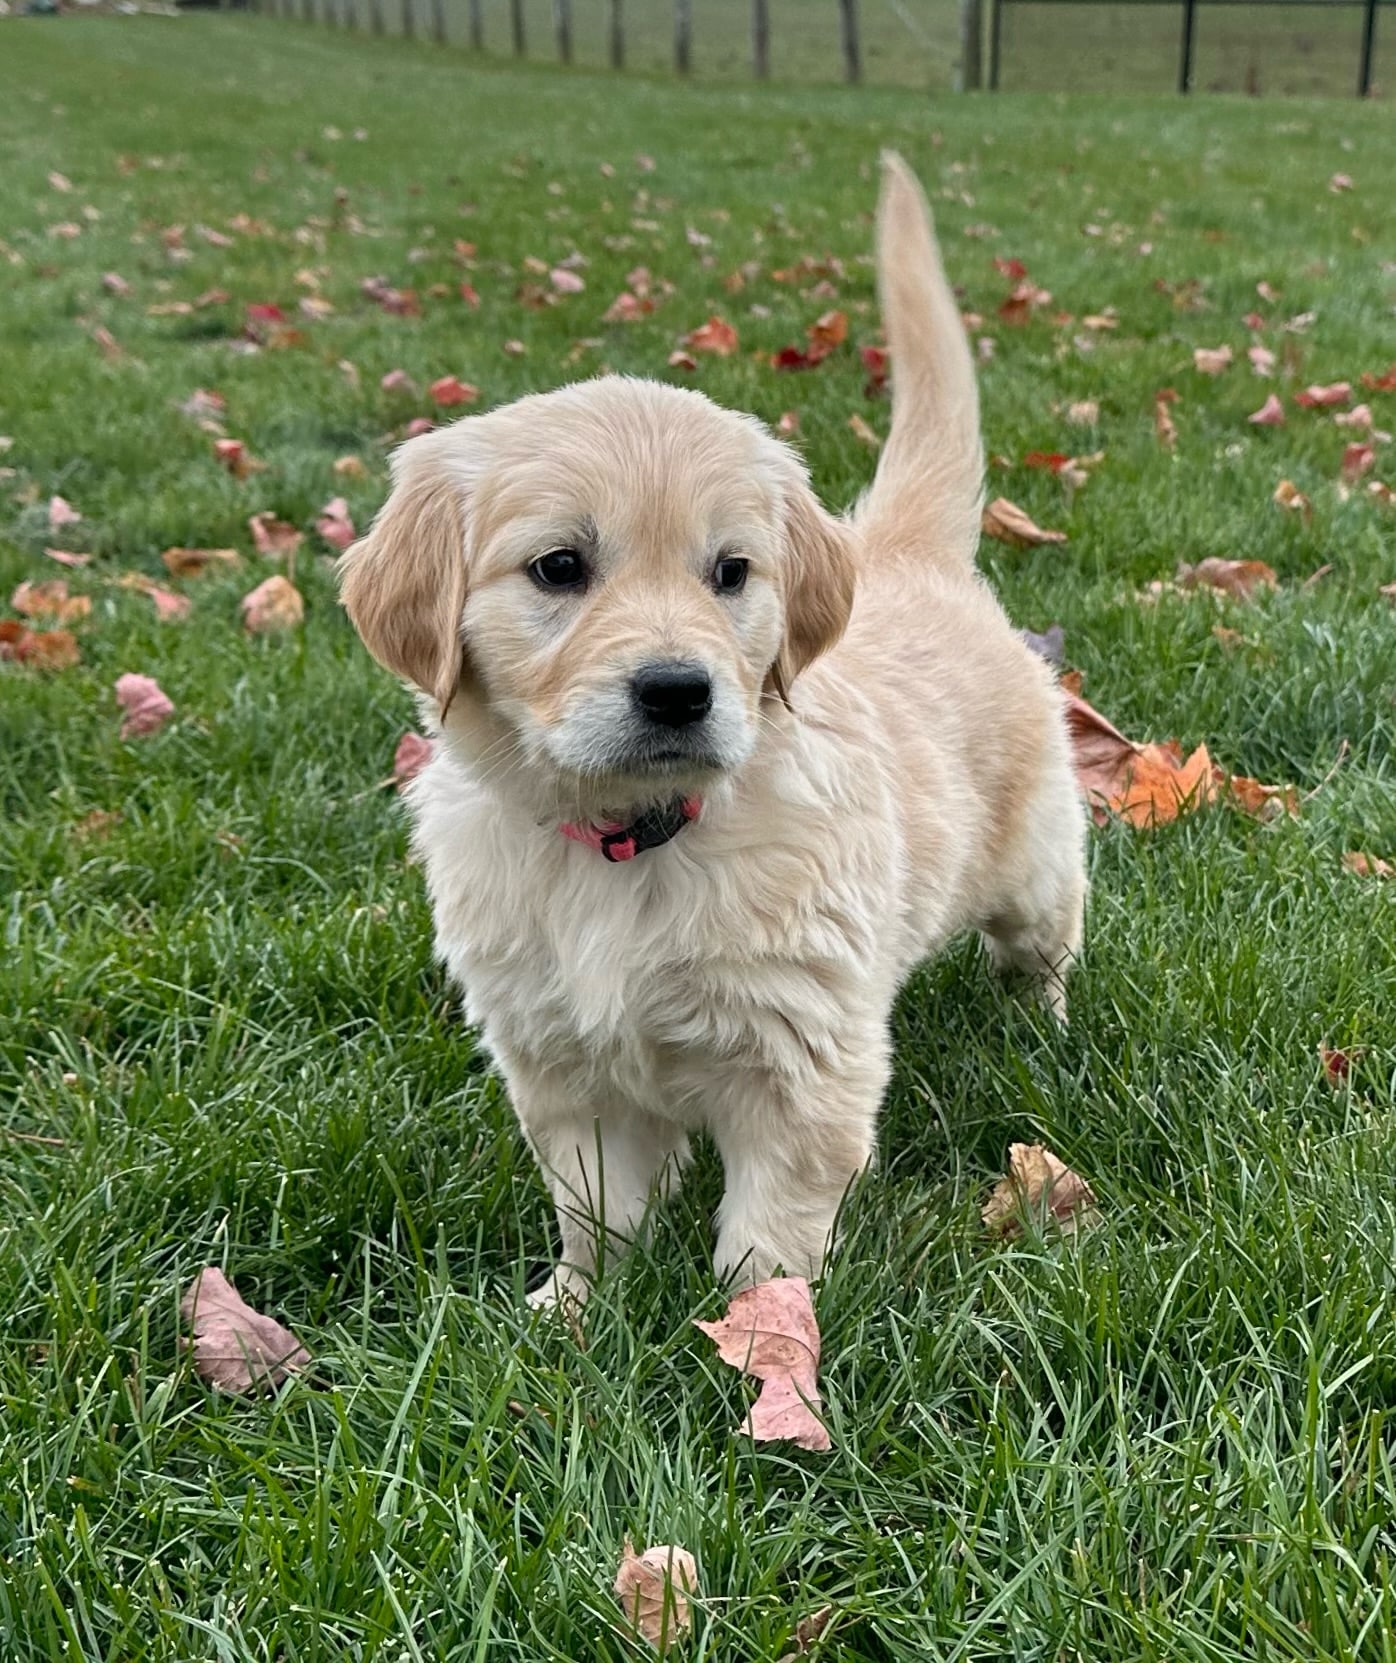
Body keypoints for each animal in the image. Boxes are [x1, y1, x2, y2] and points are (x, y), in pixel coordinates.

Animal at [344, 156, 1084, 1297]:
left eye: (731, 572)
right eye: (559, 567)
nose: (677, 690)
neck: (633, 840)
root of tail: (902, 553)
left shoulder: (801, 1061)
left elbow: (767, 1238)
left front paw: (757, 1332)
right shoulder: (563, 1065)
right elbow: (594, 1208)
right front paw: (574, 1305)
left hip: (1035, 865)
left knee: (1043, 949)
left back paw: (1037, 1031)